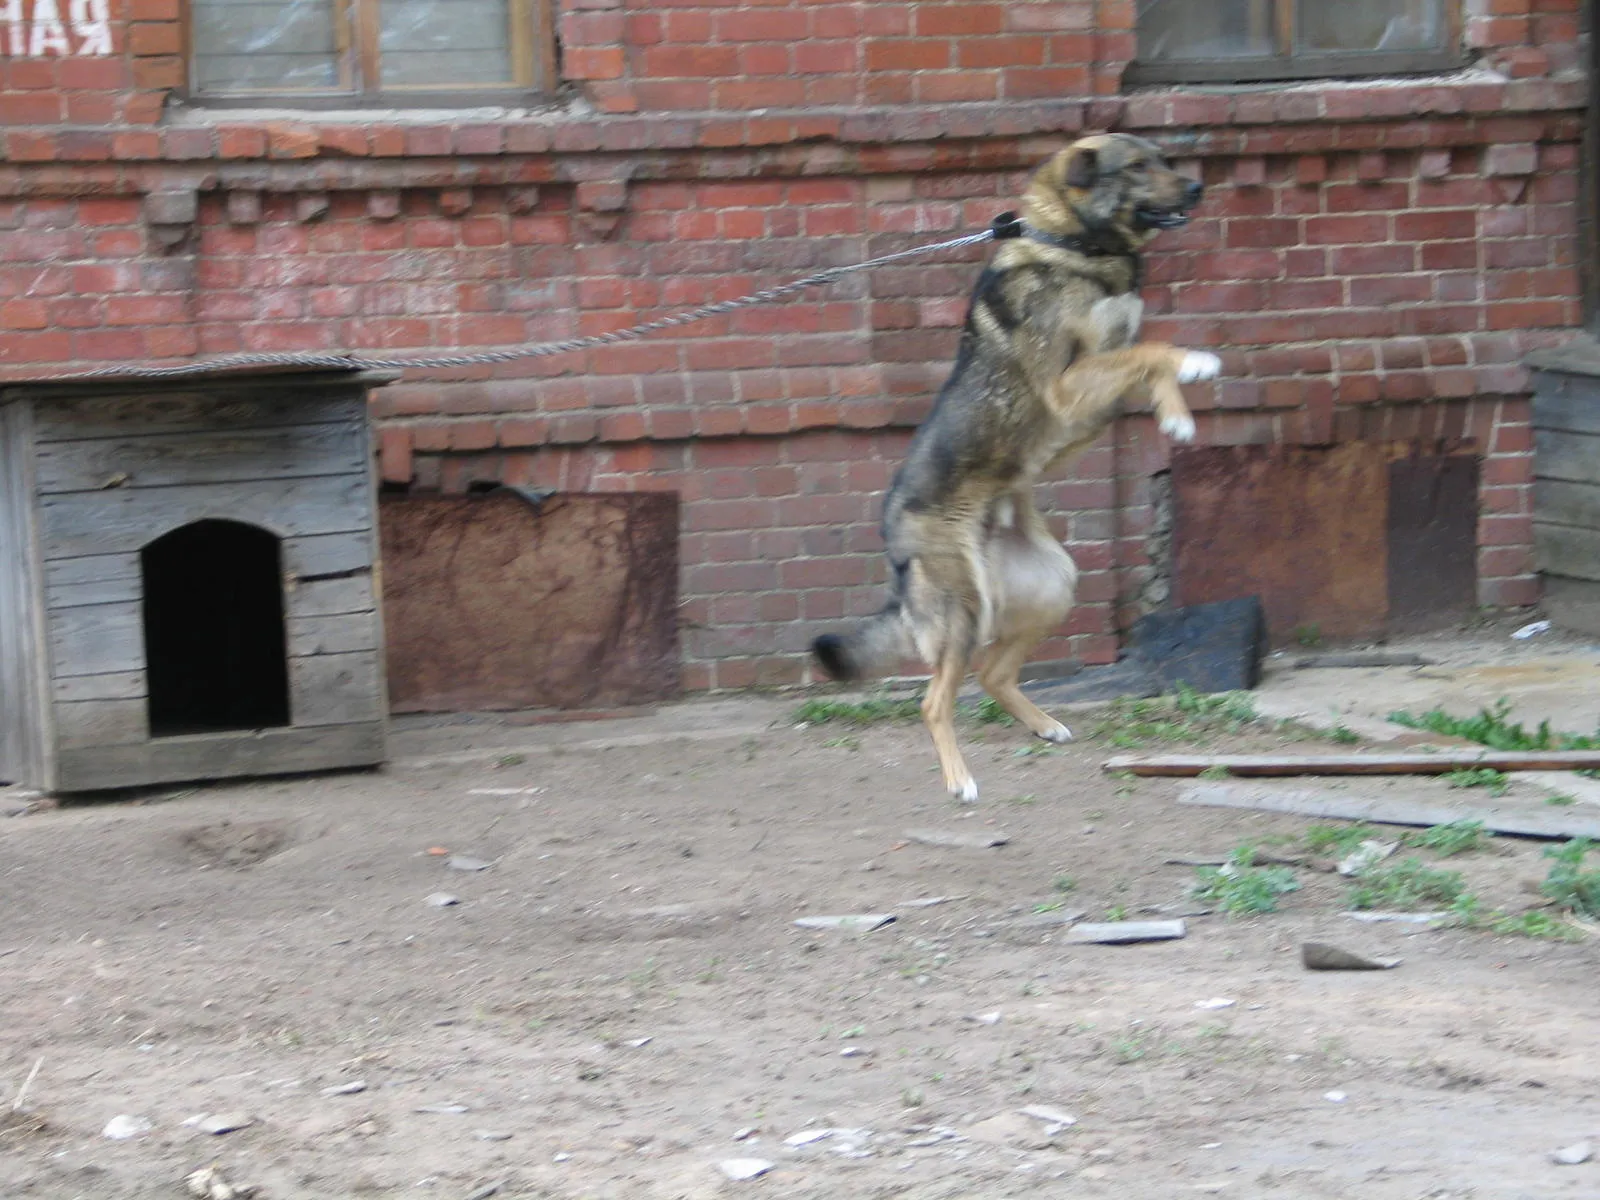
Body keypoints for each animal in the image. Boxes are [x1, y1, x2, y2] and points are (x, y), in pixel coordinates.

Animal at [810, 133, 1220, 802]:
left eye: (1163, 158)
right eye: (1137, 167)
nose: (1196, 187)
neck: (1075, 244)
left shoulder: (1099, 377)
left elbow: (1143, 358)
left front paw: (1178, 415)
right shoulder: (1067, 385)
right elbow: (1152, 351)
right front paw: (1194, 365)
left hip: (1053, 583)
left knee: (993, 673)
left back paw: (1044, 724)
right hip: (961, 608)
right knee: (935, 700)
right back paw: (960, 781)